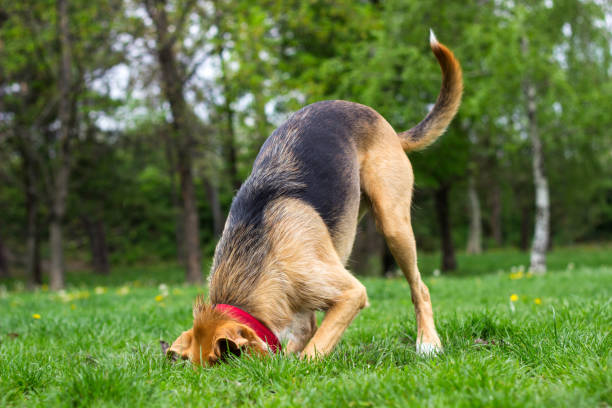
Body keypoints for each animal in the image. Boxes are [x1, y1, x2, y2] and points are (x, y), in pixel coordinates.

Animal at [165, 30, 462, 364]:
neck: (257, 254)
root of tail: (389, 129)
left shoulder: (350, 293)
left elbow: (313, 350)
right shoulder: (300, 310)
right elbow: (306, 334)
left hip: (394, 225)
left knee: (419, 288)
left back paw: (428, 342)